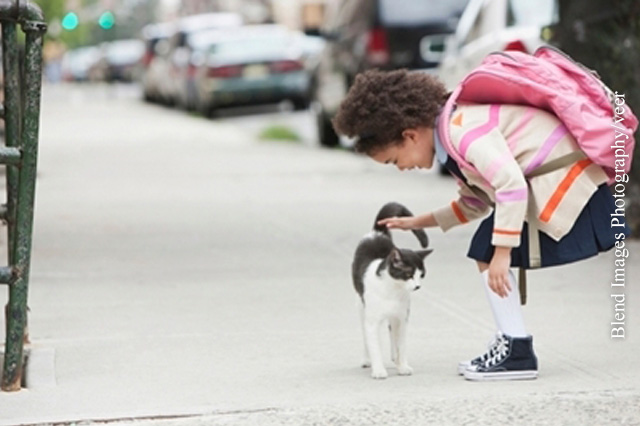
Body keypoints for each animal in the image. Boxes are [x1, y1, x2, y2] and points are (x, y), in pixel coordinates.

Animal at [352, 202, 432, 380]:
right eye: (409, 275)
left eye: (421, 275)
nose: (417, 286)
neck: (393, 291)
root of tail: (377, 233)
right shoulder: (372, 321)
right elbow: (374, 346)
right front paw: (379, 370)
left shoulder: (402, 318)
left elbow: (401, 345)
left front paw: (402, 366)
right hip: (361, 307)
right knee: (365, 335)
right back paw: (366, 360)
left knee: (392, 333)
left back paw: (395, 357)